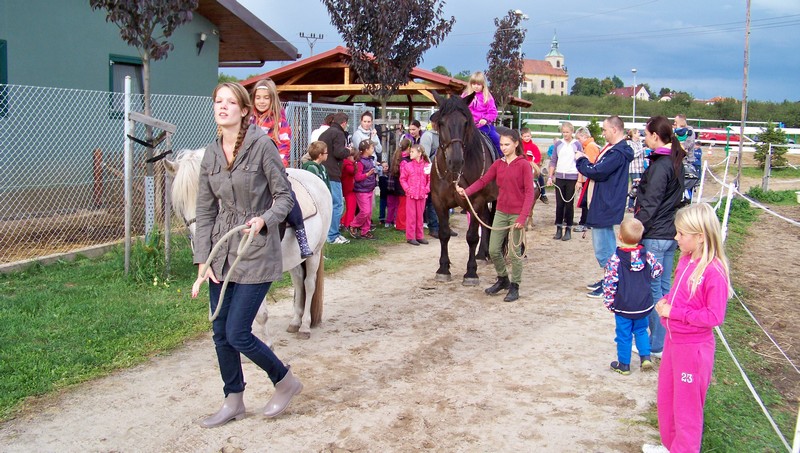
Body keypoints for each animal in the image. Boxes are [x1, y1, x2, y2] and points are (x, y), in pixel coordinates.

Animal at [166, 149, 332, 342]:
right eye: (182, 200)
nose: (199, 235)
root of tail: (315, 179)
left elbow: (260, 315)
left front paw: (267, 344)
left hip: (315, 252)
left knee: (309, 284)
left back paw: (305, 326)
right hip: (294, 258)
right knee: (298, 281)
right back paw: (295, 322)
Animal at [428, 90, 496, 284]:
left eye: (465, 122)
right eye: (441, 122)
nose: (456, 161)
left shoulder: (476, 201)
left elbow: (472, 236)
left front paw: (471, 272)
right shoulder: (439, 202)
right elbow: (444, 233)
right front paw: (443, 269)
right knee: (486, 220)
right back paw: (482, 253)